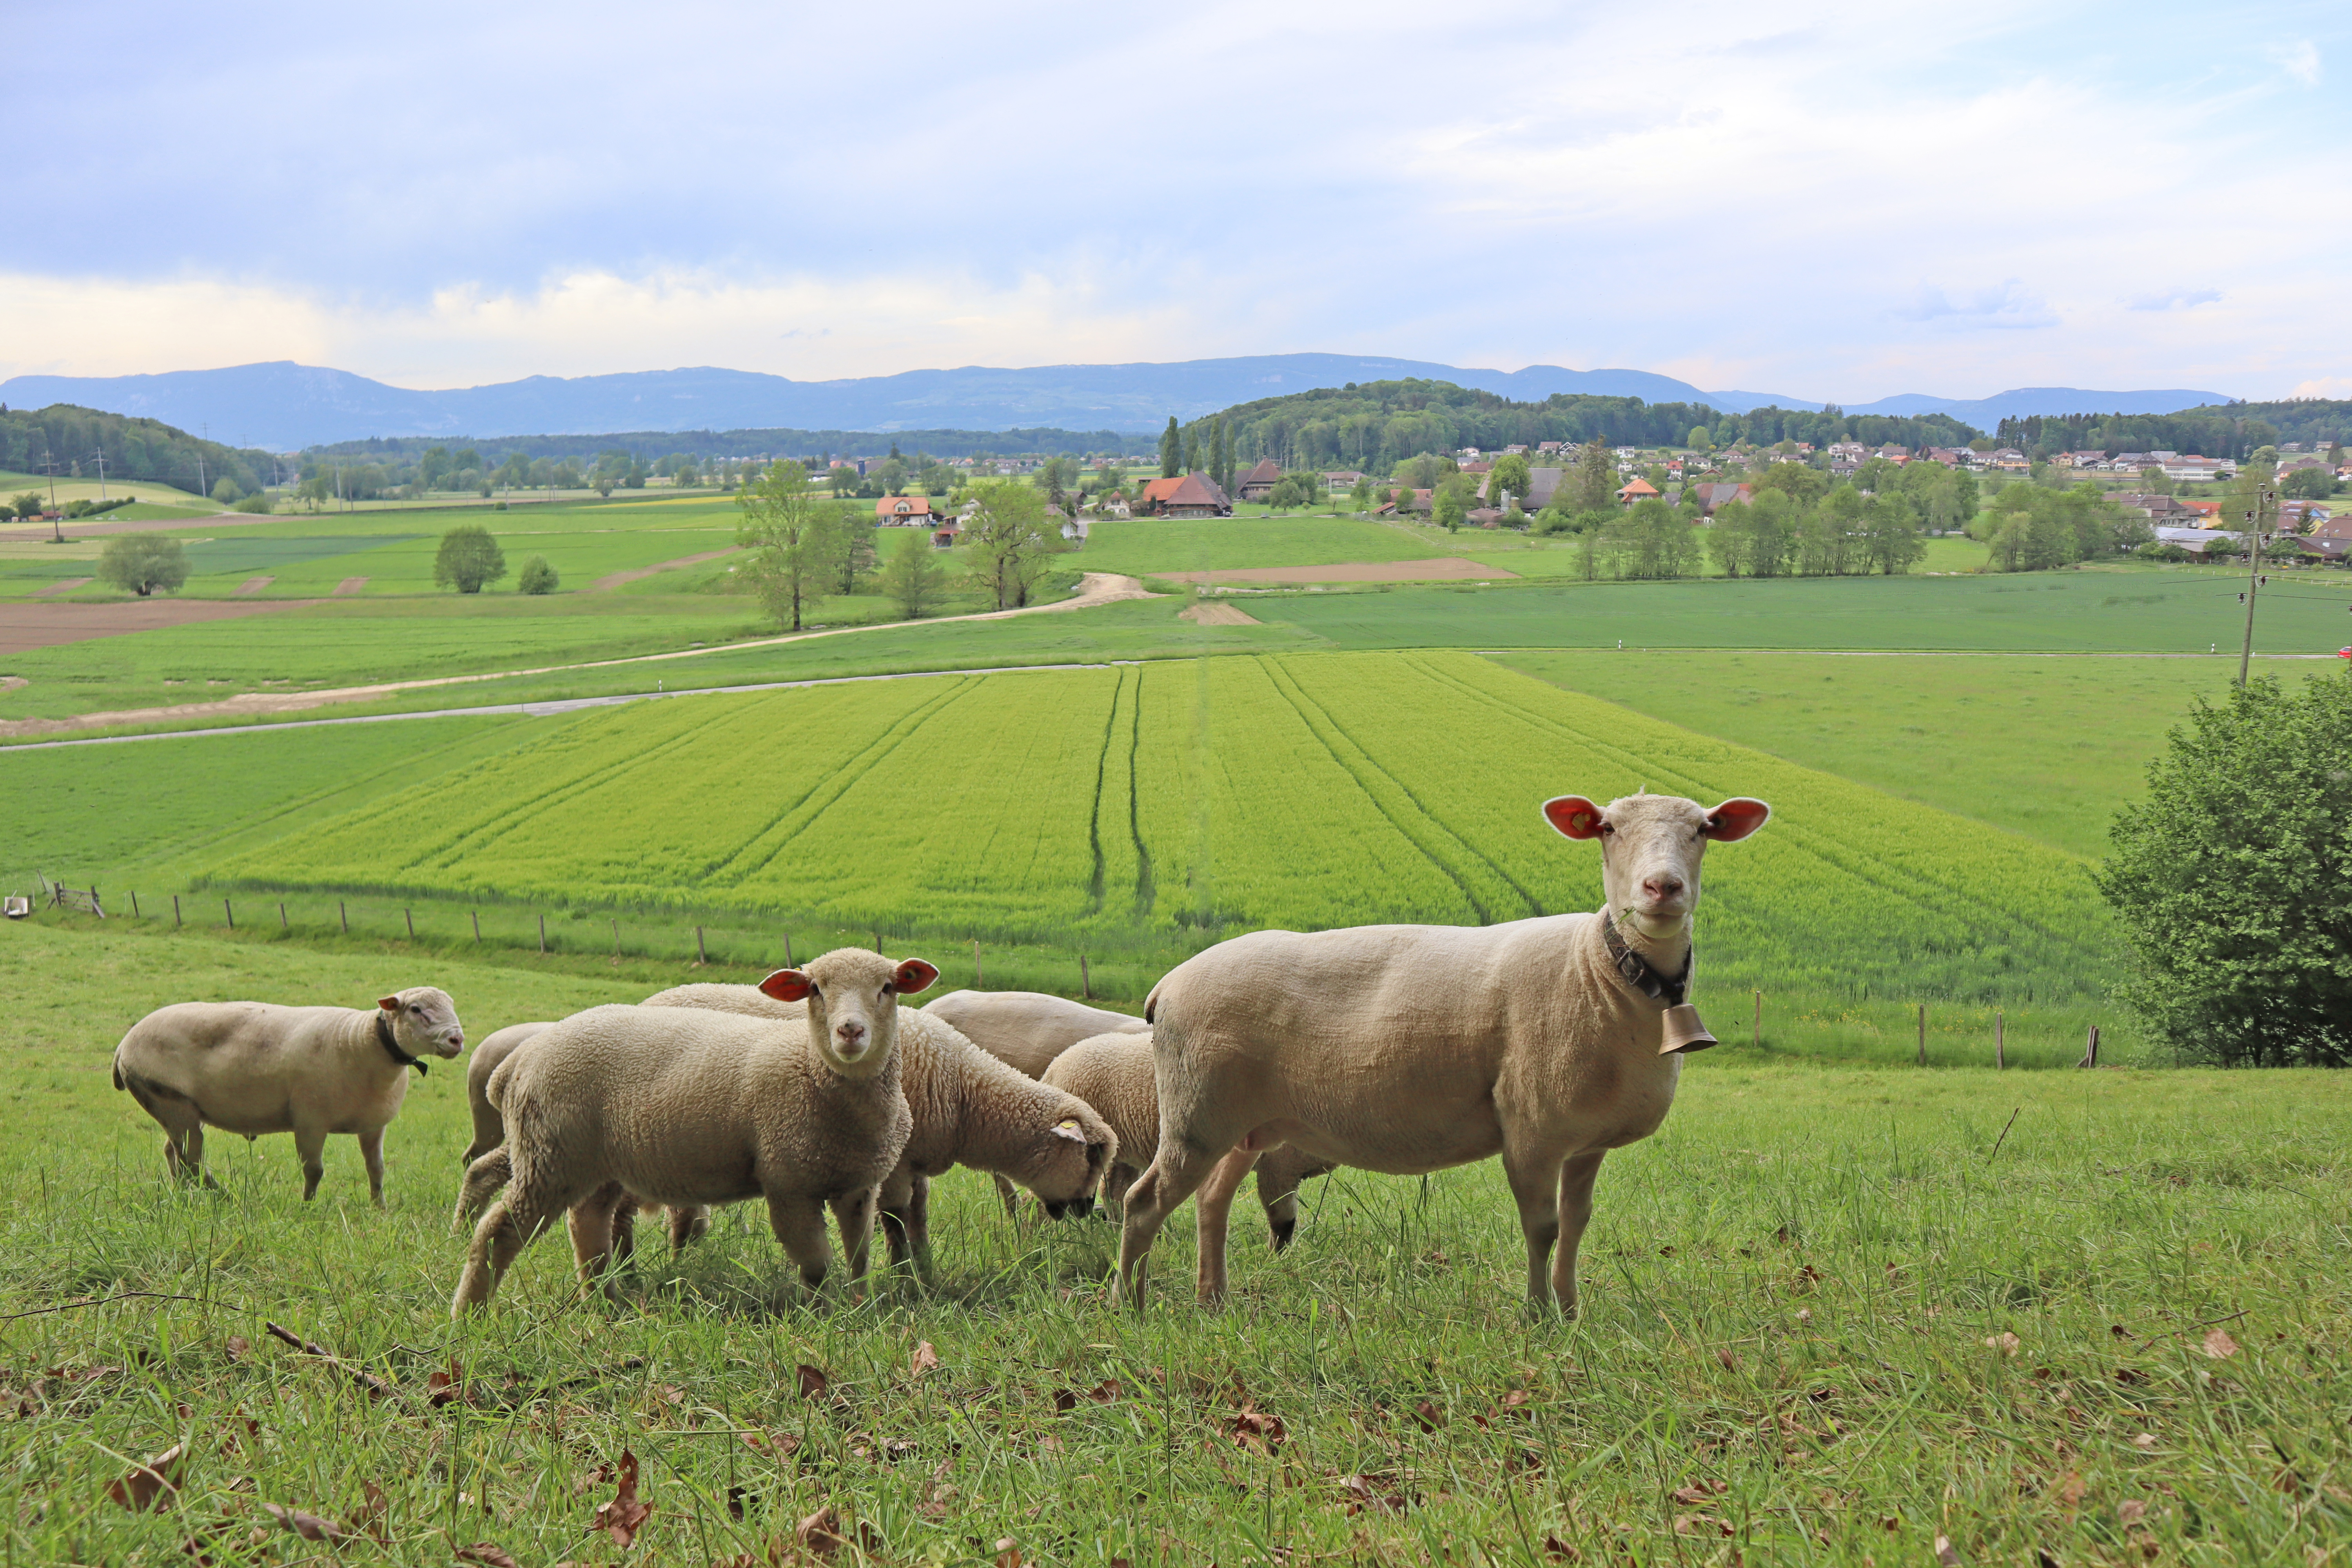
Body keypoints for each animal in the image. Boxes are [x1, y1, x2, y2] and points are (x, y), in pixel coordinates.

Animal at [111, 987, 466, 1205]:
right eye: (416, 1009)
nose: (457, 1040)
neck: (362, 1041)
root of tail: (124, 1045)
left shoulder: (373, 1125)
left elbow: (376, 1169)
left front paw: (380, 1208)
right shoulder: (310, 1121)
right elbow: (315, 1171)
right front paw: (307, 1207)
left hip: (177, 1108)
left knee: (175, 1154)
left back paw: (184, 1194)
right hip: (171, 1101)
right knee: (192, 1160)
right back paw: (224, 1196)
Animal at [449, 949, 930, 1315]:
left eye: (887, 988)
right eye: (815, 989)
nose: (850, 1031)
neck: (814, 1071)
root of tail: (522, 1058)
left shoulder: (859, 1183)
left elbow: (859, 1257)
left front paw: (859, 1306)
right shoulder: (788, 1183)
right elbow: (816, 1266)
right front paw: (822, 1318)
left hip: (594, 1163)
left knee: (588, 1223)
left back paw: (605, 1303)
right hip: (549, 1155)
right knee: (498, 1231)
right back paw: (470, 1314)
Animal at [640, 983, 1119, 1280]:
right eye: (1092, 1154)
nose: (1088, 1211)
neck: (965, 1093)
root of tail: (649, 1001)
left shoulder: (915, 1161)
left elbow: (918, 1215)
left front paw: (924, 1270)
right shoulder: (893, 1162)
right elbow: (895, 1218)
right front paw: (903, 1276)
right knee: (682, 1216)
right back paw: (679, 1267)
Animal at [1042, 1029, 1334, 1251]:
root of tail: (1055, 1067)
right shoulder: (1279, 1166)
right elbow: (1283, 1221)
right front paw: (1276, 1258)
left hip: (1120, 1148)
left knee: (1115, 1189)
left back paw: (1118, 1231)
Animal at [1113, 791, 1771, 1315]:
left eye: (1704, 829)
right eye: (1608, 828)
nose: (1663, 888)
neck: (1599, 967)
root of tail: (1167, 985)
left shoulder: (1586, 1140)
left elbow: (1577, 1225)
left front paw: (1570, 1311)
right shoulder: (1531, 1125)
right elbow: (1544, 1228)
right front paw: (1538, 1318)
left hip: (1245, 1124)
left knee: (1211, 1201)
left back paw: (1213, 1300)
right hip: (1197, 1112)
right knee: (1143, 1202)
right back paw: (1132, 1306)